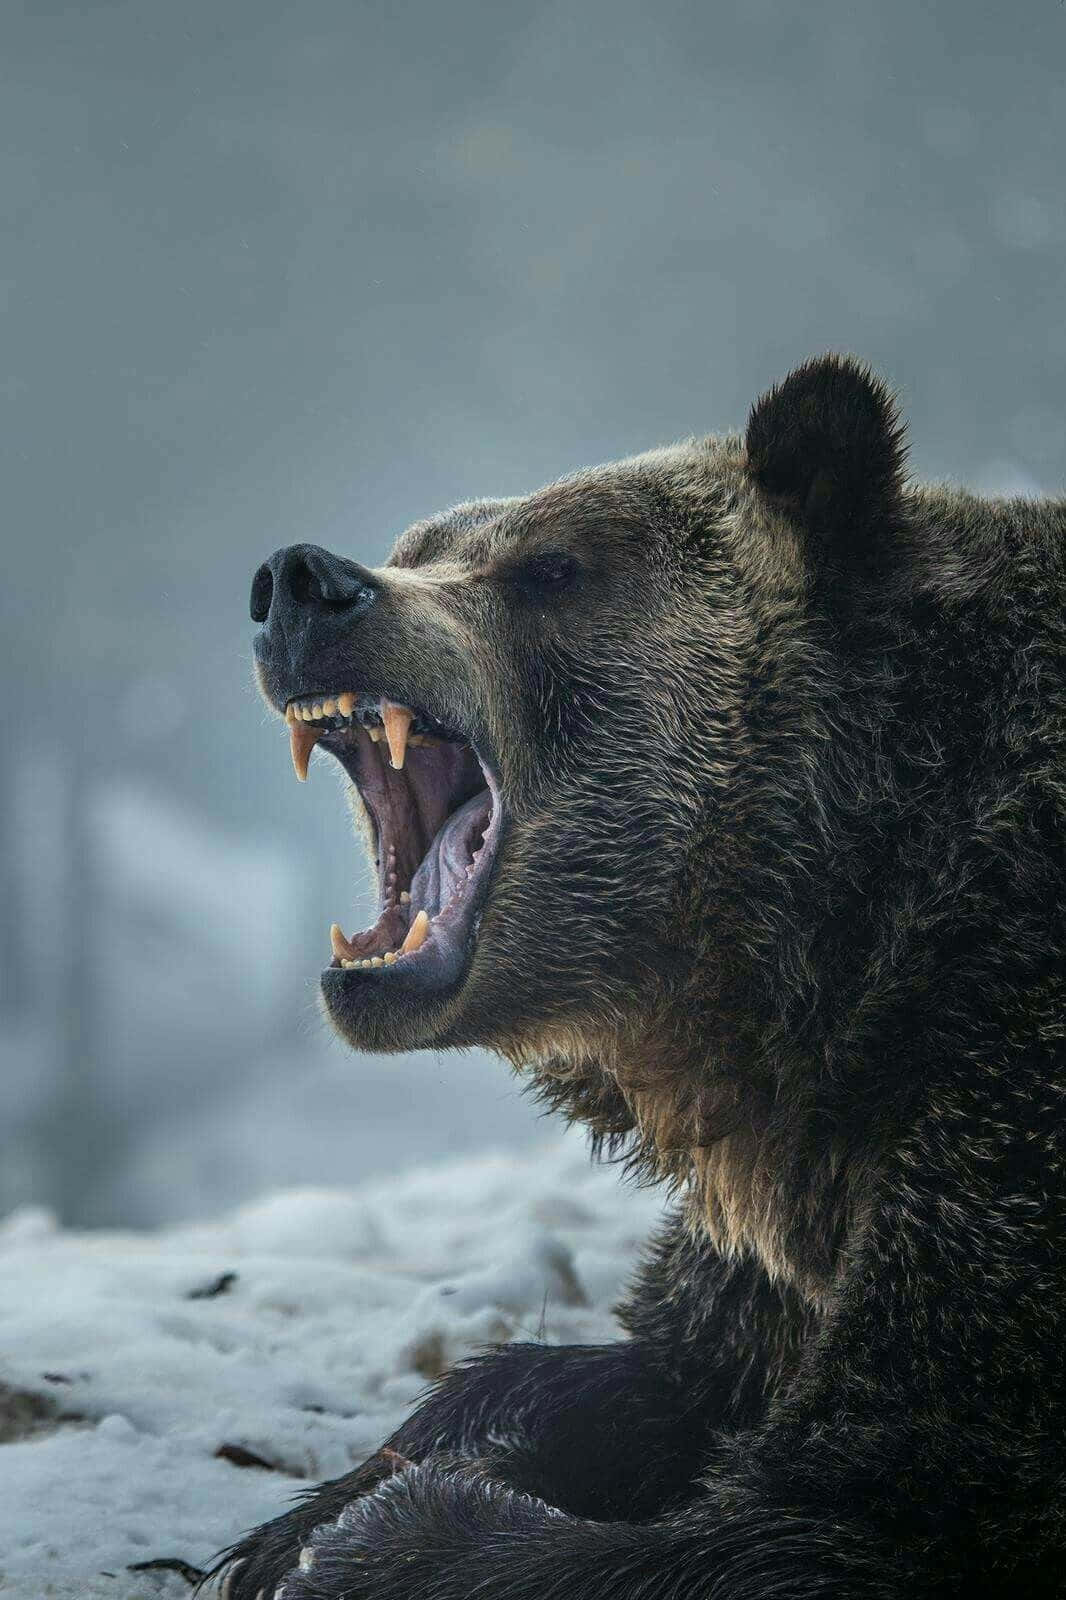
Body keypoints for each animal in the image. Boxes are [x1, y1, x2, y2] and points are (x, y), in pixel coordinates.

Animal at [212, 356, 1066, 1597]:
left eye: (553, 568)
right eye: (421, 541)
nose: (302, 583)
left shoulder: (997, 1095)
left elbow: (836, 1502)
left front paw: (373, 1536)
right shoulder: (778, 1196)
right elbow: (658, 1368)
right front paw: (316, 1510)